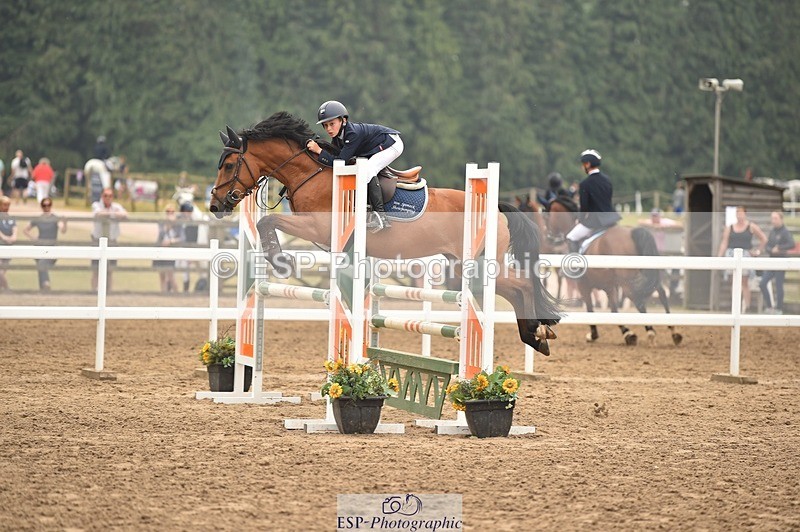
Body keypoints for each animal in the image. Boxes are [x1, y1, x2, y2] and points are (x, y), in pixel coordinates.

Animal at [208, 111, 560, 355]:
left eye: (228, 165)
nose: (214, 205)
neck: (312, 173)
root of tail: (497, 207)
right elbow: (267, 224)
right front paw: (278, 258)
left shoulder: (319, 227)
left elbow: (269, 222)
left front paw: (281, 261)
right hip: (464, 265)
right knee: (515, 290)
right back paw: (535, 336)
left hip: (481, 264)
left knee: (523, 283)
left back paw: (538, 332)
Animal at [534, 198, 682, 346]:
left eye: (546, 217)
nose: (548, 238)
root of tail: (633, 232)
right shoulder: (609, 286)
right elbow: (614, 309)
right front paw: (627, 333)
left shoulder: (584, 286)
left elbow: (591, 308)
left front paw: (594, 334)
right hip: (647, 276)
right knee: (662, 293)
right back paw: (674, 331)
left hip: (627, 281)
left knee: (639, 301)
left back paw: (651, 332)